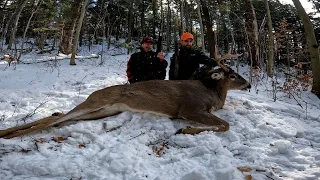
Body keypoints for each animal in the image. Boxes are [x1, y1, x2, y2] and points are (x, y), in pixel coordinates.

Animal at [0, 48, 250, 139]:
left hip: (102, 111)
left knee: (57, 119)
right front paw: (186, 129)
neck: (213, 94)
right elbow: (225, 124)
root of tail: (94, 94)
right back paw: (7, 135)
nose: (248, 85)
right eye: (233, 75)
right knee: (51, 120)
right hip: (97, 102)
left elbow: (224, 124)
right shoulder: (190, 108)